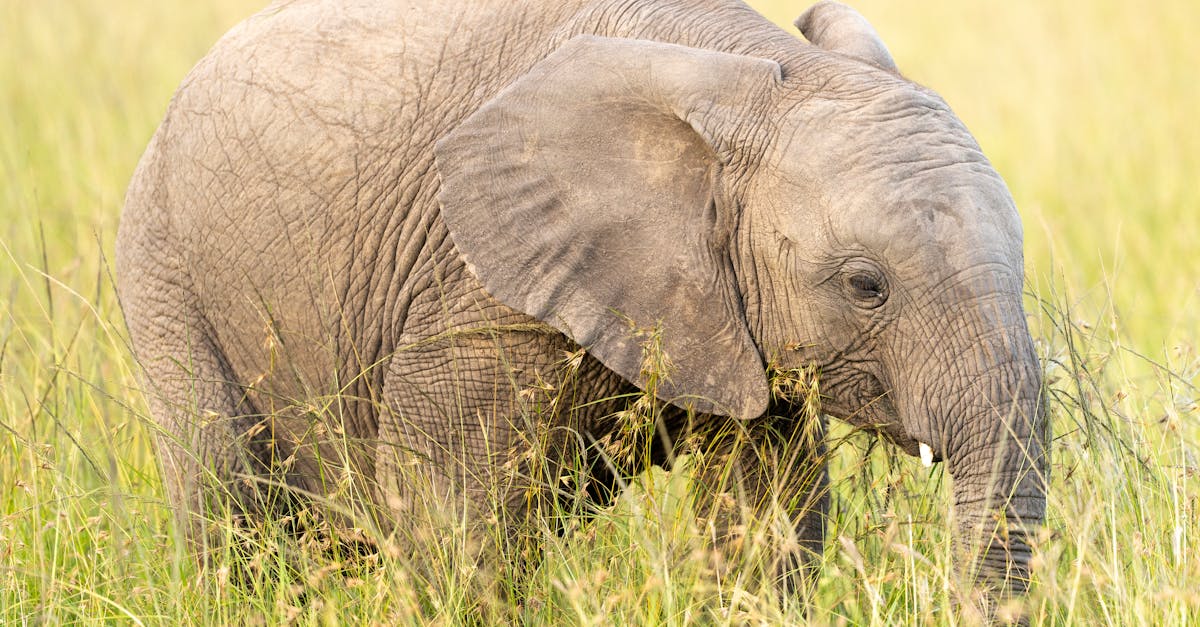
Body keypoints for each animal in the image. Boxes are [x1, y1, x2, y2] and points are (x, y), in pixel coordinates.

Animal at [117, 0, 1046, 605]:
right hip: (162, 269)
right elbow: (451, 510)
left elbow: (768, 510)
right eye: (866, 285)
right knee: (227, 505)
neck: (754, 80)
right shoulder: (477, 285)